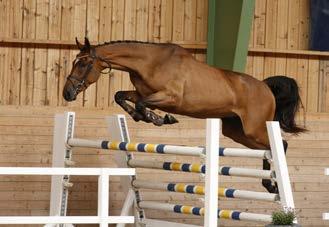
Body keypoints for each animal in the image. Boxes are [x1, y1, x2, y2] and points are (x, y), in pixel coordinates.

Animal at [62, 37, 304, 193]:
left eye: (83, 63)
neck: (150, 63)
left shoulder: (171, 98)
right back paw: (269, 185)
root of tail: (265, 87)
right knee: (268, 150)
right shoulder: (143, 92)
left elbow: (141, 103)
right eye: (74, 62)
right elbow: (120, 96)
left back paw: (274, 184)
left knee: (280, 144)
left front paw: (158, 118)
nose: (67, 93)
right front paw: (144, 116)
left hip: (254, 128)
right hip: (237, 132)